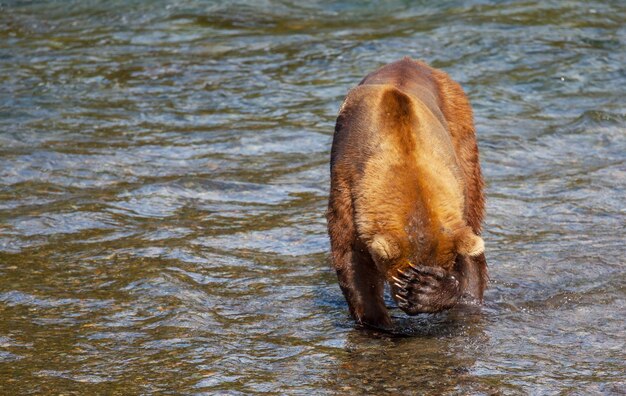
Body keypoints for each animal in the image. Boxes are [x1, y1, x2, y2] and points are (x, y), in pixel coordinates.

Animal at [326, 57, 488, 330]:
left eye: (442, 265)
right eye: (399, 273)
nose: (409, 304)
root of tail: (414, 61)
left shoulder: (455, 190)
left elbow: (468, 249)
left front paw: (429, 290)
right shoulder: (347, 185)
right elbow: (350, 255)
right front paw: (379, 321)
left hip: (460, 124)